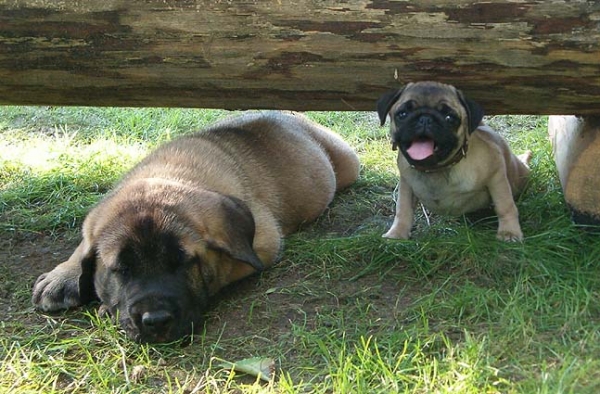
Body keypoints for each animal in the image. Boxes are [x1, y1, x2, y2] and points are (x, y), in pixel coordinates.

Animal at [378, 81, 532, 240]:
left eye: (449, 118)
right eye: (402, 114)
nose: (425, 119)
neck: (436, 168)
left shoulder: (497, 177)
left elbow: (505, 206)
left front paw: (509, 232)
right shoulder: (406, 186)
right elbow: (403, 209)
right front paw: (397, 233)